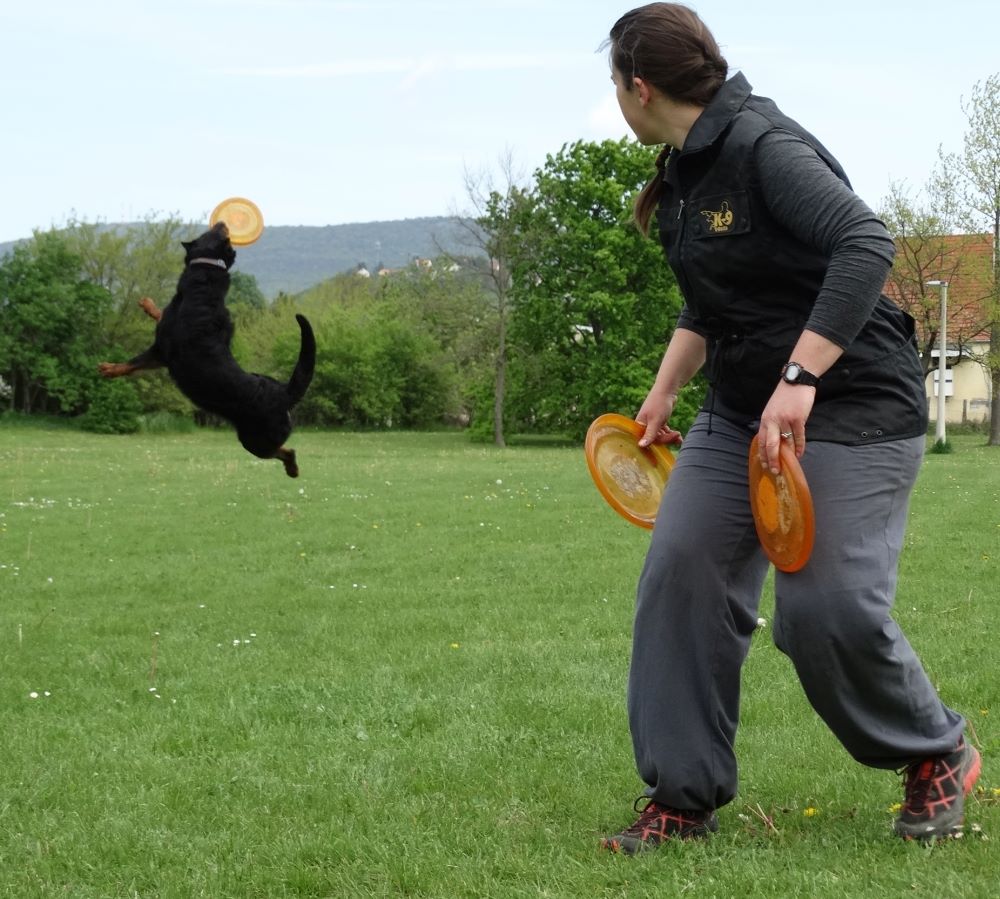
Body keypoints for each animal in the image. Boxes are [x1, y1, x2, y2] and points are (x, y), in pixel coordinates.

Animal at [99, 223, 314, 478]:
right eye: (213, 232)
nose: (222, 223)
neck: (205, 280)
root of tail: (284, 393)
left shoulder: (161, 349)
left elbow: (132, 363)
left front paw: (109, 368)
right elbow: (160, 313)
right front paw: (148, 305)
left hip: (255, 440)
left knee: (285, 451)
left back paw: (292, 468)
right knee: (286, 450)